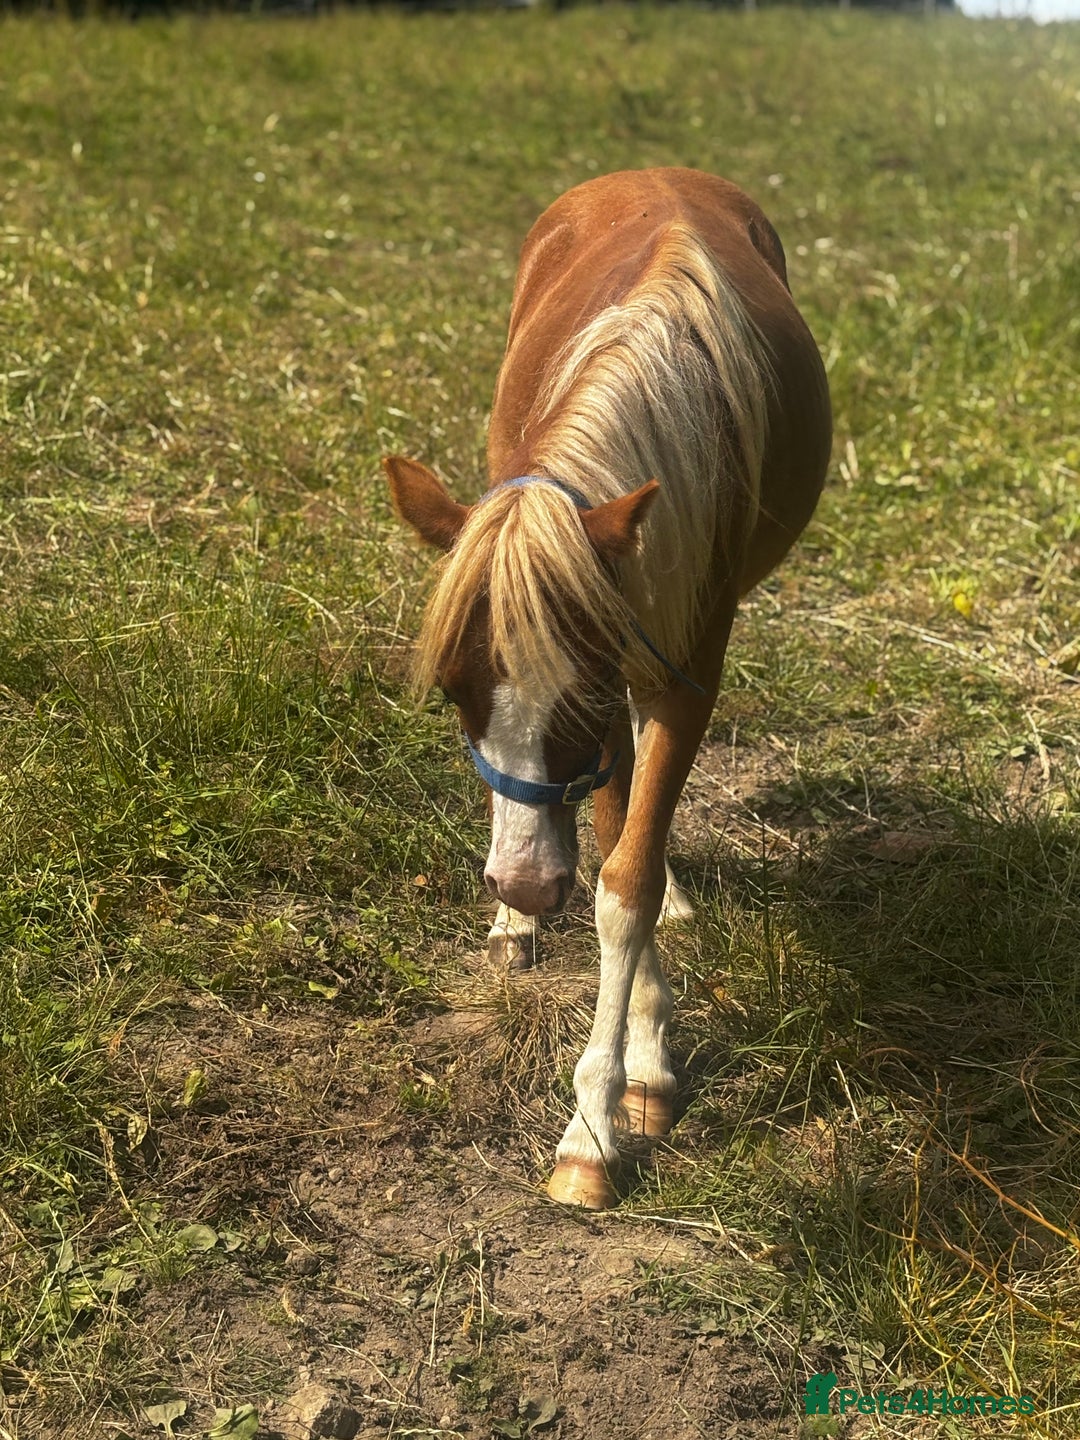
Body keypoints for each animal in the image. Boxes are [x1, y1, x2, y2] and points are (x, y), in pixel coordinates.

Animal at [384, 167, 831, 1209]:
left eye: (580, 692)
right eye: (451, 691)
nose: (521, 882)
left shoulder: (673, 665)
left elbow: (626, 881)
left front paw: (599, 1122)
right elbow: (610, 842)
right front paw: (638, 1062)